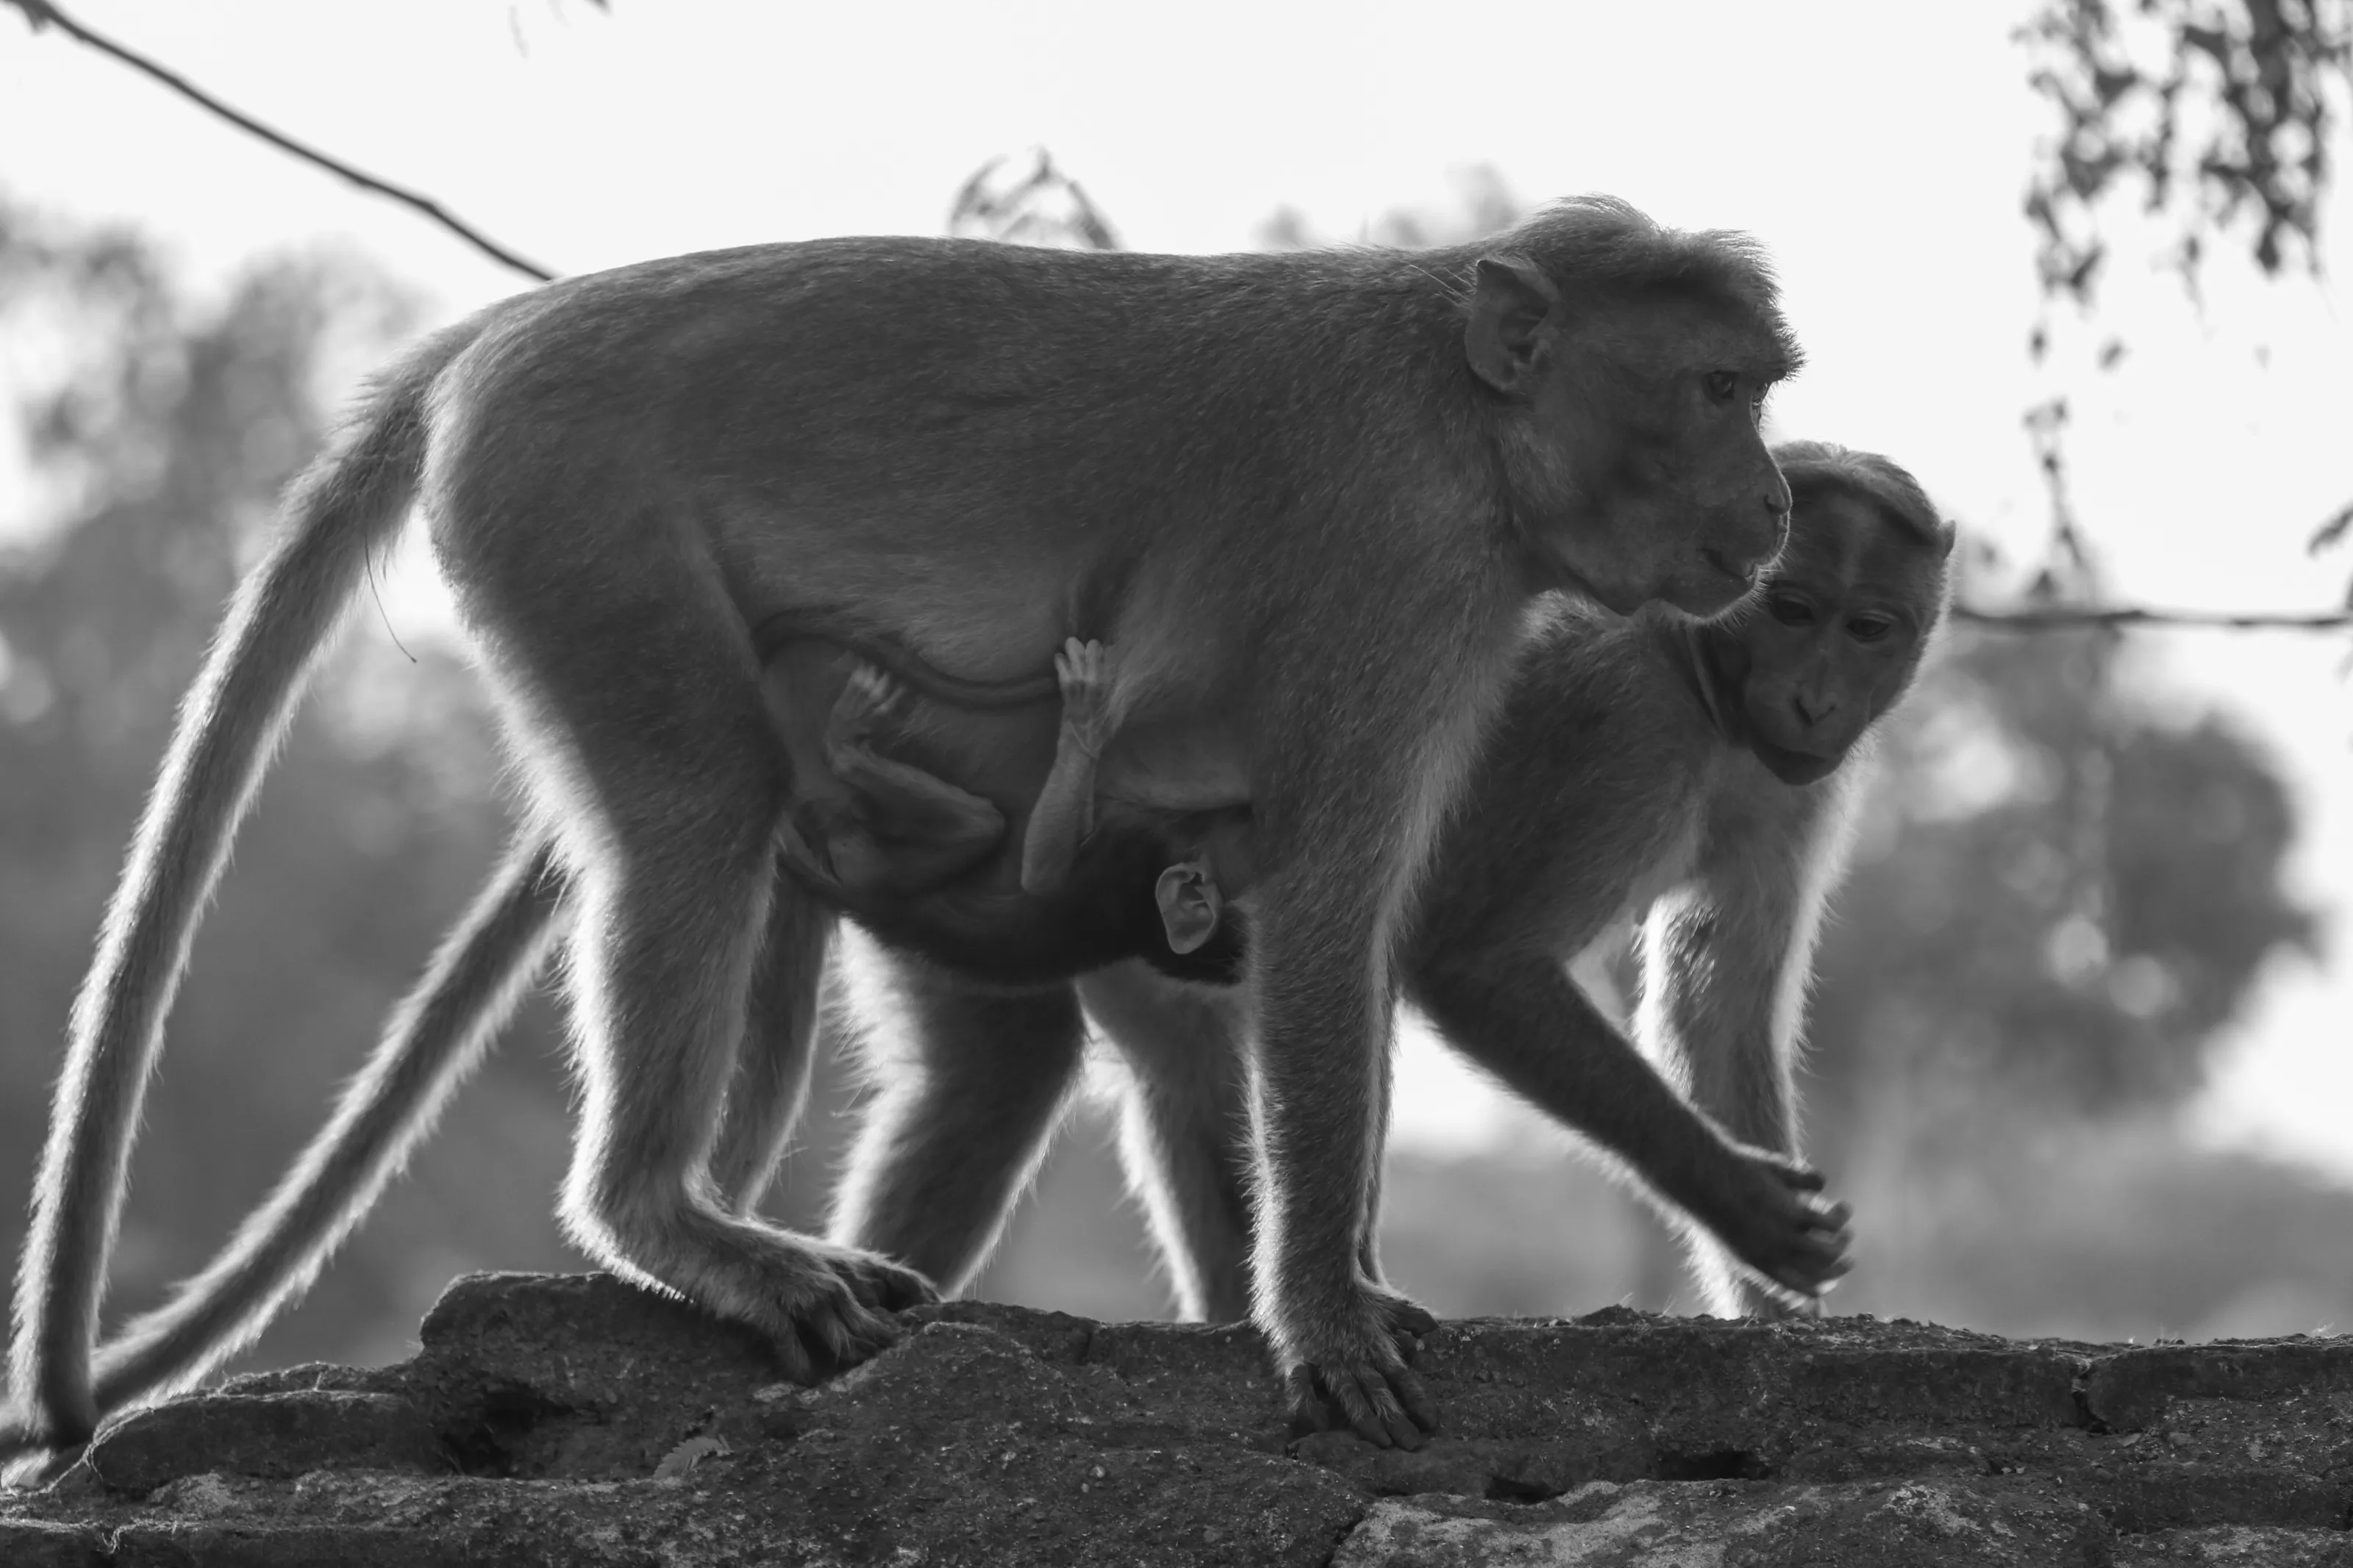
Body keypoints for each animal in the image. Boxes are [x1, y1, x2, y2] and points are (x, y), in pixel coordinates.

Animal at [4, 196, 1799, 1465]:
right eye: (1718, 389)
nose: (1780, 500)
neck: (1465, 416)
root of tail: (494, 334)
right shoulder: (1396, 571)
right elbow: (1333, 904)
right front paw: (1316, 1308)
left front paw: (1327, 1286)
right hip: (575, 521)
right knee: (696, 807)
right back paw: (665, 1221)